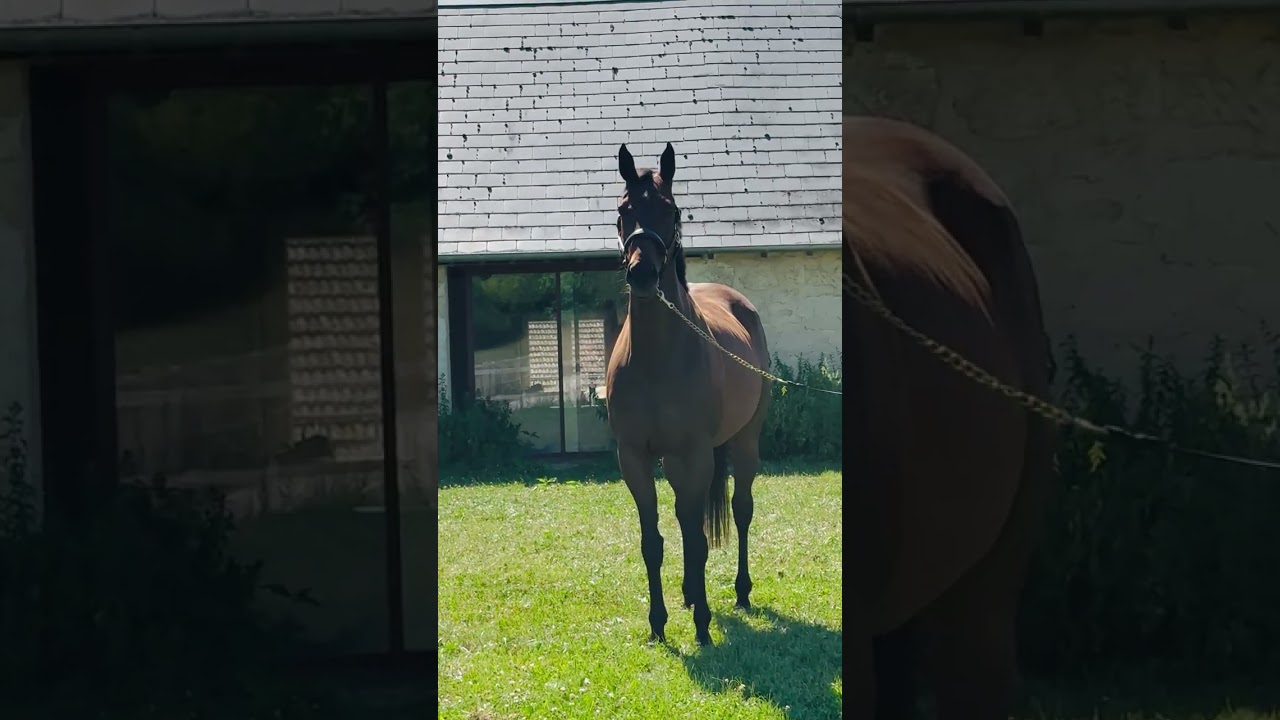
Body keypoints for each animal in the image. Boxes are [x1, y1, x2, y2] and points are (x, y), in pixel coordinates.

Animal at [604, 142, 772, 647]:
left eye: (672, 210)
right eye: (623, 210)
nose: (642, 274)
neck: (657, 358)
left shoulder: (692, 456)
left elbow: (697, 541)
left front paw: (702, 624)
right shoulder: (635, 459)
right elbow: (653, 541)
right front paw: (658, 624)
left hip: (744, 443)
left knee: (740, 511)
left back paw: (738, 593)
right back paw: (687, 595)